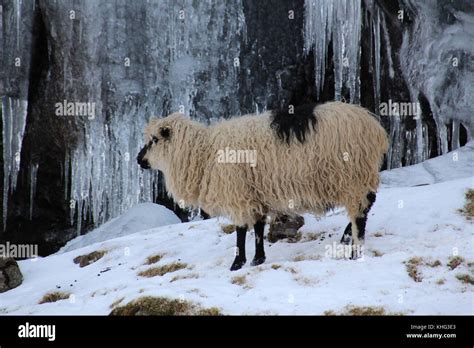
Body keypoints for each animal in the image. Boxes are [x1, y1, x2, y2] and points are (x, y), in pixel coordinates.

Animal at [137, 102, 388, 270]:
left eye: (154, 140)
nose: (139, 159)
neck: (204, 152)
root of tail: (374, 126)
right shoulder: (255, 193)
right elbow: (257, 227)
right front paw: (258, 259)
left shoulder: (237, 193)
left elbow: (240, 230)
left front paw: (237, 263)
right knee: (366, 206)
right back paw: (347, 238)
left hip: (353, 178)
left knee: (360, 214)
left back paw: (354, 250)